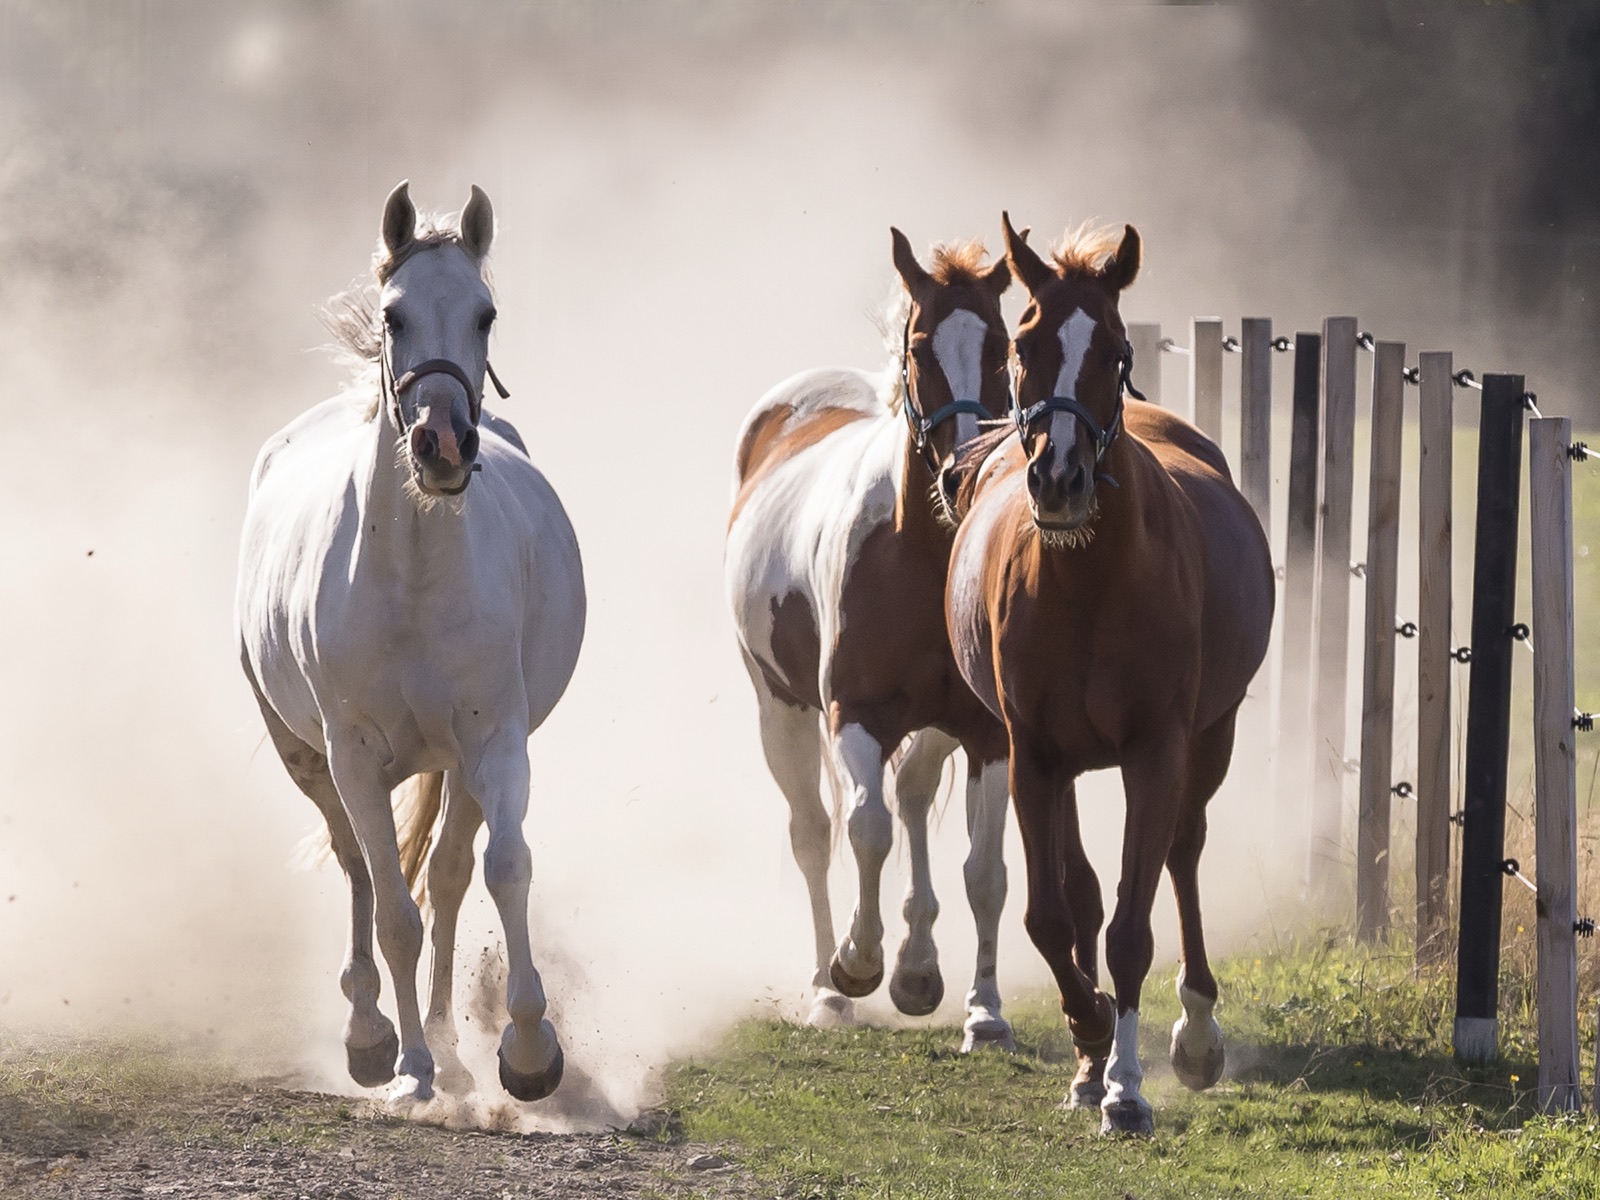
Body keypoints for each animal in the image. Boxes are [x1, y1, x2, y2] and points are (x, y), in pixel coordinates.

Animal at [236, 182, 585, 1103]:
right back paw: (374, 1035)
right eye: (393, 316)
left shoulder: (494, 740)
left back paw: (453, 1044)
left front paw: (527, 1050)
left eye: (485, 315)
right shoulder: (351, 753)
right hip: (310, 758)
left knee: (451, 874)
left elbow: (502, 869)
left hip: (454, 763)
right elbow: (391, 907)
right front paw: (411, 1070)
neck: (414, 581)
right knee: (362, 869)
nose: (443, 443)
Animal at [724, 230, 1017, 1051]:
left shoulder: (988, 734)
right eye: (921, 346)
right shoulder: (850, 715)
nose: (962, 474)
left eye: (1003, 345)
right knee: (815, 831)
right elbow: (866, 829)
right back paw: (830, 991)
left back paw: (918, 969)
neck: (916, 554)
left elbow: (985, 870)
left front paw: (985, 1012)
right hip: (780, 712)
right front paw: (857, 962)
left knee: (913, 792)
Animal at [943, 216, 1273, 1133]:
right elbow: (1053, 915)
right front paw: (1090, 1040)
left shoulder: (1158, 750)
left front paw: (1127, 1085)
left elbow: (1132, 924)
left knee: (1183, 855)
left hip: (1212, 738)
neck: (1087, 582)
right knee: (1085, 888)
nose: (1058, 478)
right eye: (1024, 343)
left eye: (1116, 350)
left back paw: (1194, 1032)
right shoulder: (1033, 755)